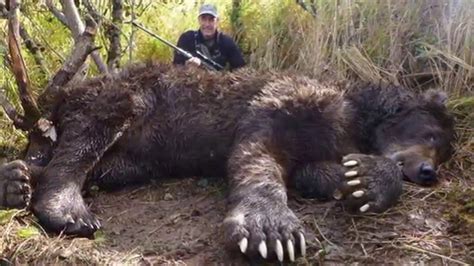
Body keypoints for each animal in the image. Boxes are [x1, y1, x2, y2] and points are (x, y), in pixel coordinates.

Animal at [0, 62, 454, 262]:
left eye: (445, 151)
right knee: (83, 141)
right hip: (119, 97)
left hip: (130, 159)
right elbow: (257, 155)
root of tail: (60, 97)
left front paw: (363, 181)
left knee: (95, 165)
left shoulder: (323, 145)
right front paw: (269, 230)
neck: (350, 113)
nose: (429, 172)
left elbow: (317, 172)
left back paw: (17, 180)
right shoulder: (277, 103)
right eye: (430, 134)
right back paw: (65, 207)